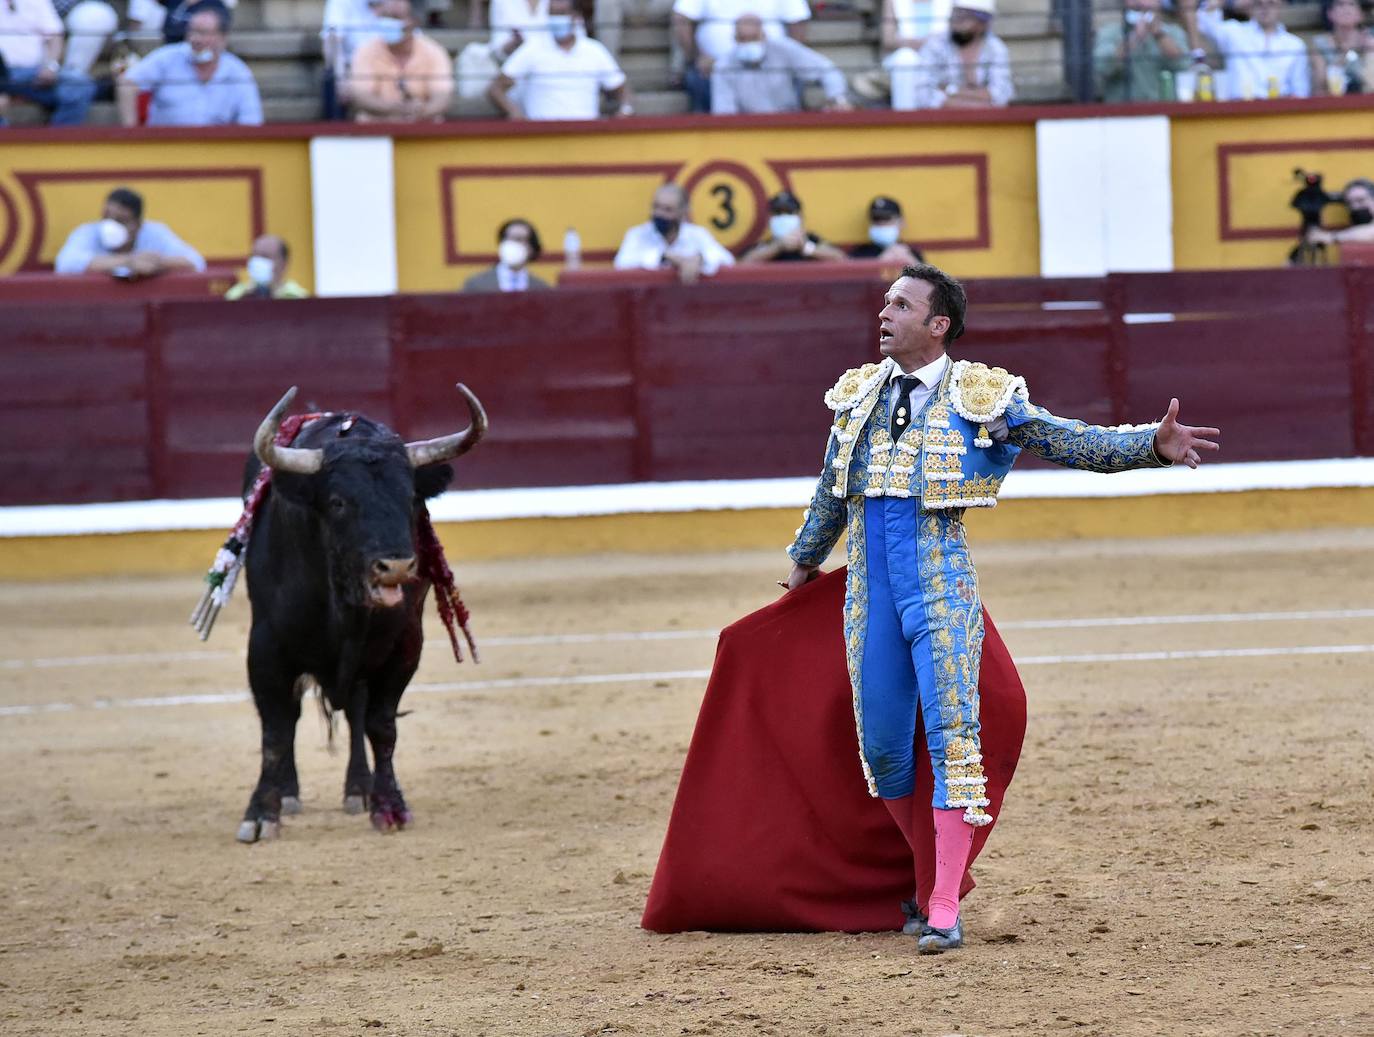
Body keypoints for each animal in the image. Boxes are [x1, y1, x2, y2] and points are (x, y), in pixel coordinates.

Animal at [236, 381, 489, 846]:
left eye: (410, 497)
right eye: (338, 502)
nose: (397, 567)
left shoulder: (404, 647)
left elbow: (381, 726)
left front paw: (390, 804)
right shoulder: (266, 645)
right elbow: (276, 731)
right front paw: (261, 814)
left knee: (355, 713)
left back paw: (359, 789)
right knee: (294, 713)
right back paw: (291, 793)